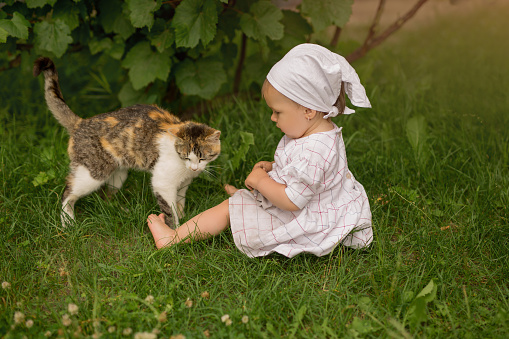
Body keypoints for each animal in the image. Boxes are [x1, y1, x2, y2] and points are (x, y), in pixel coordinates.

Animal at [33, 57, 220, 230]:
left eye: (202, 158)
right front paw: (174, 231)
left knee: (106, 195)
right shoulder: (162, 183)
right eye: (186, 157)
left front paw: (183, 215)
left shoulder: (184, 183)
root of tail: (81, 122)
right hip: (92, 174)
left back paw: (118, 211)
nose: (194, 168)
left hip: (118, 175)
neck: (184, 169)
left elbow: (180, 201)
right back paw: (68, 222)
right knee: (68, 192)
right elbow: (170, 210)